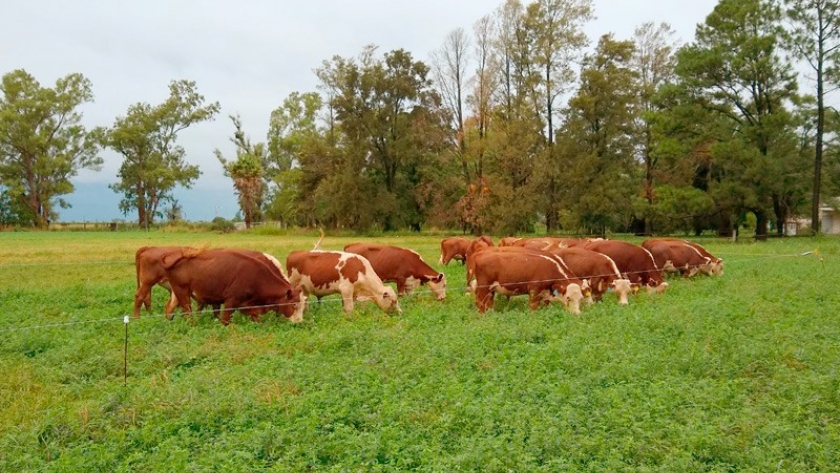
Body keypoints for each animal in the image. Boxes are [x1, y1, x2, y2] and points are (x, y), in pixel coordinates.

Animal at [161, 247, 306, 324]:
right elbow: (225, 320)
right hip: (183, 293)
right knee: (187, 313)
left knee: (170, 308)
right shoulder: (231, 301)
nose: (298, 323)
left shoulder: (249, 306)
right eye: (294, 304)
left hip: (179, 293)